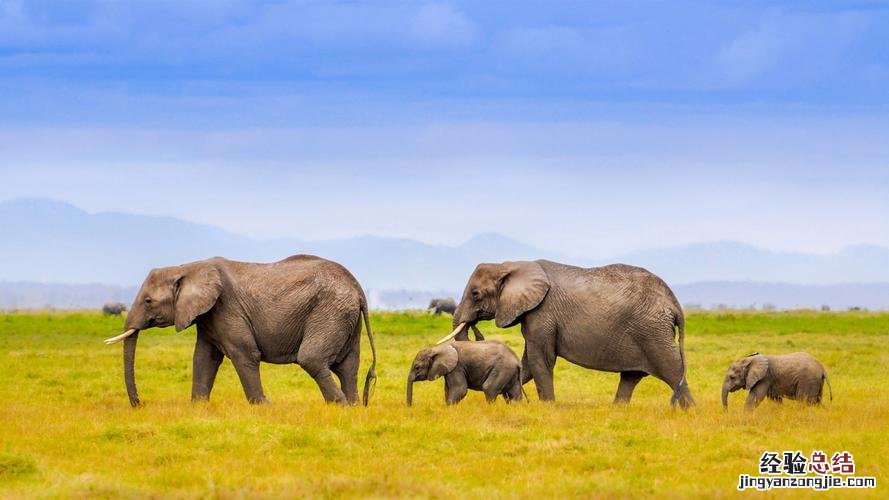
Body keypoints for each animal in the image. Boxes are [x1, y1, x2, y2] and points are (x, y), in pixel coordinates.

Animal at [104, 254, 374, 406]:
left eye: (148, 301)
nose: (139, 404)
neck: (187, 267)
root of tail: (357, 288)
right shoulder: (209, 316)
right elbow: (204, 358)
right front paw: (198, 407)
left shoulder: (227, 308)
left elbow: (244, 354)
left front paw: (263, 407)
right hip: (344, 317)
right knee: (347, 366)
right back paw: (352, 407)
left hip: (330, 311)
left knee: (312, 359)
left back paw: (339, 405)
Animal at [438, 260, 692, 408]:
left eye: (475, 294)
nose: (475, 330)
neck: (510, 265)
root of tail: (674, 303)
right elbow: (527, 362)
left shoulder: (542, 313)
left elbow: (540, 360)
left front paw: (547, 407)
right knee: (631, 377)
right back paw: (618, 410)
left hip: (653, 333)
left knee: (672, 370)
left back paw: (690, 412)